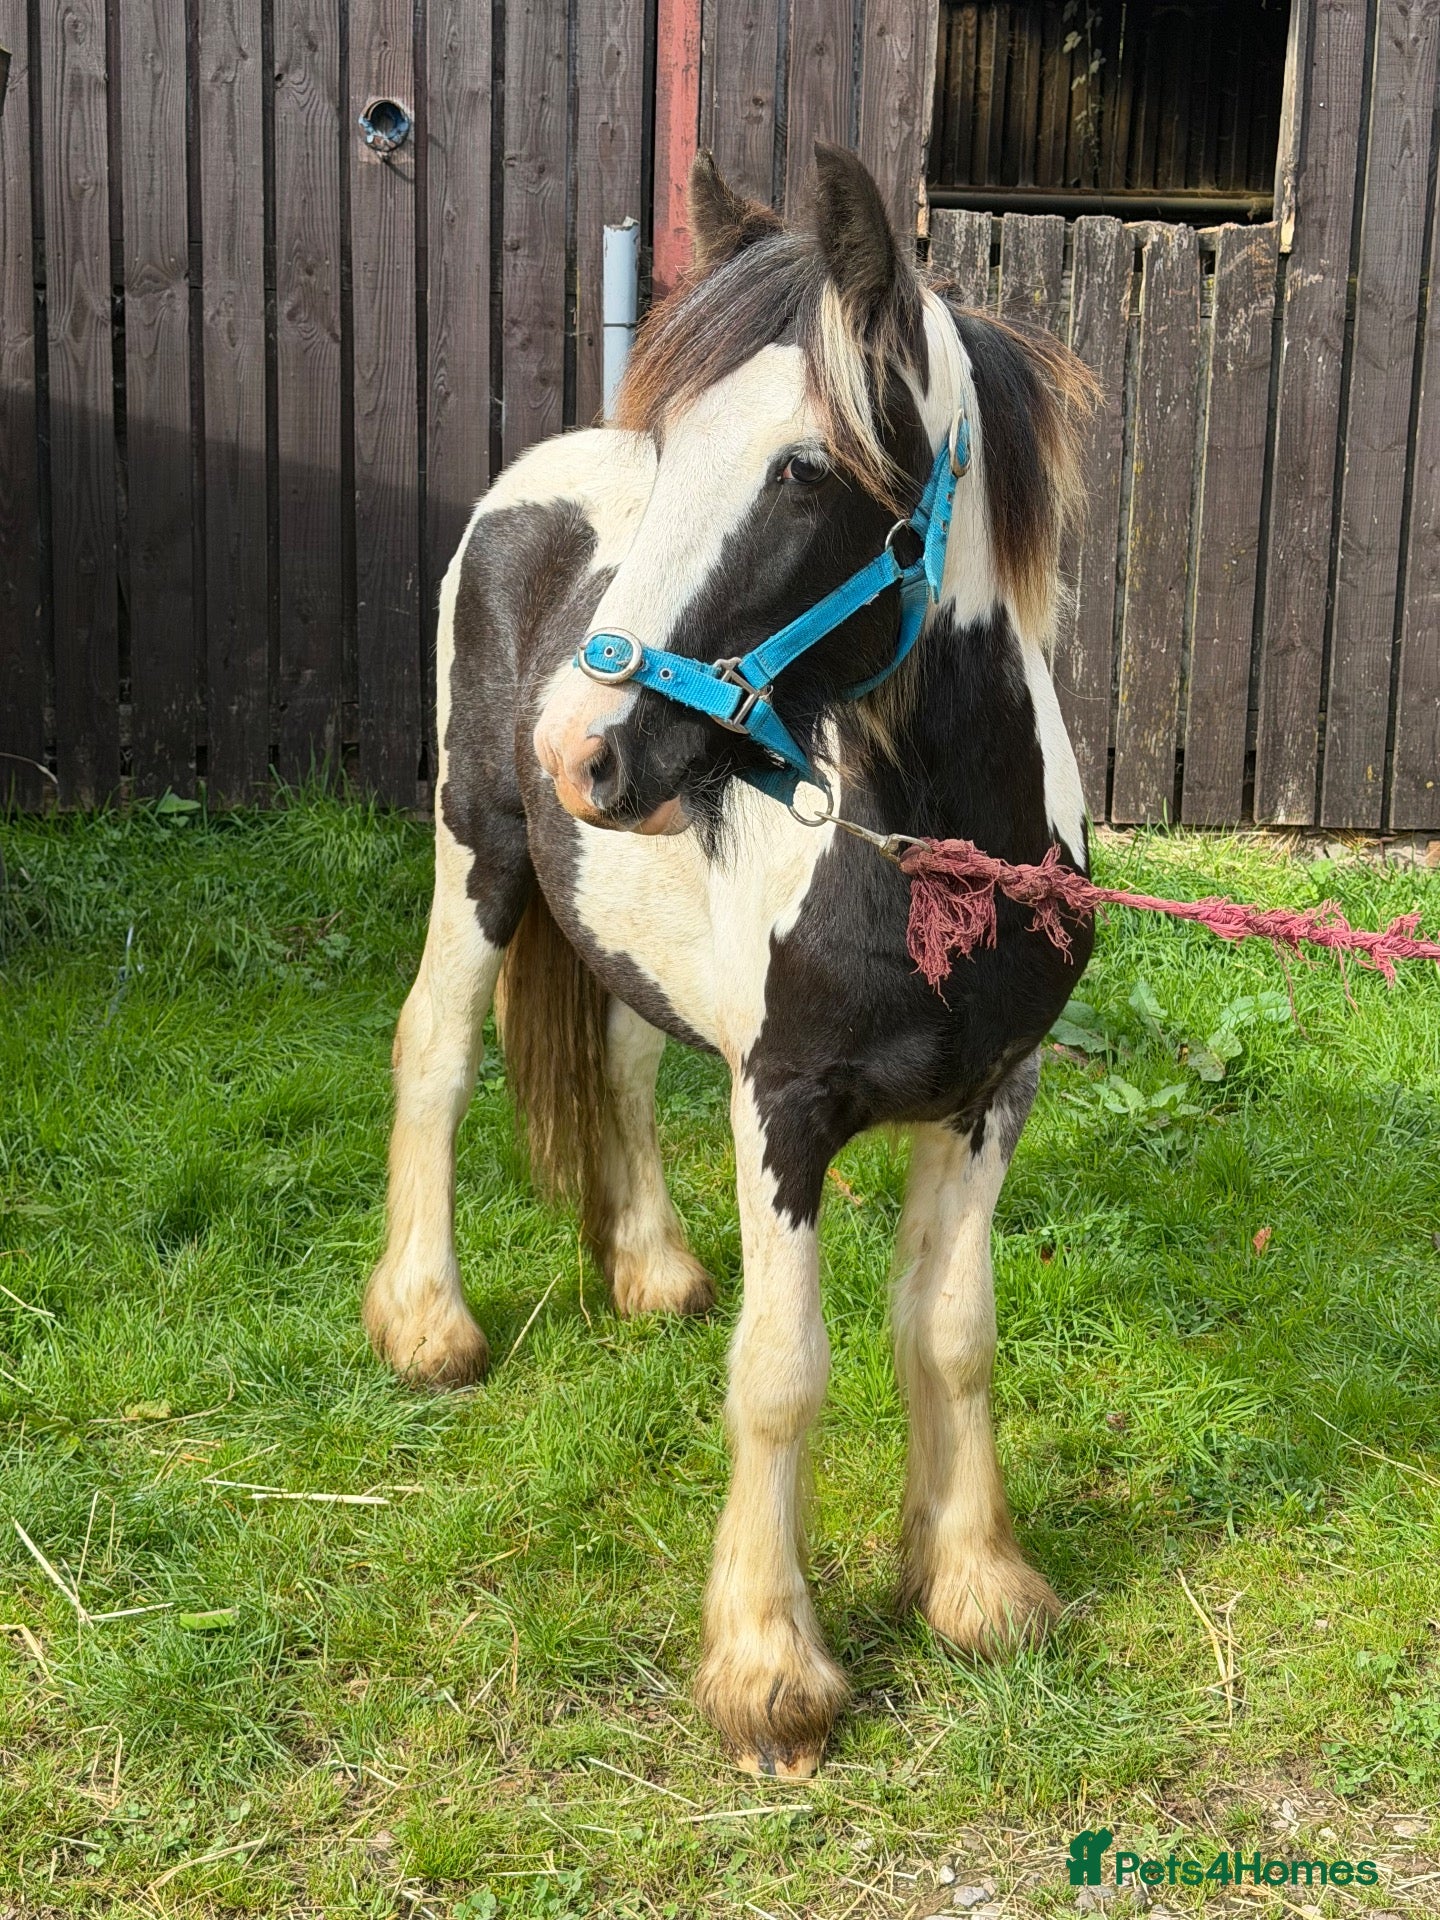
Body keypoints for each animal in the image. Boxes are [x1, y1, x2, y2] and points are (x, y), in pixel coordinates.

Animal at [363, 143, 1097, 1779]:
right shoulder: (787, 1111)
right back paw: (427, 1326)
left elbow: (954, 1334)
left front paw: (977, 1586)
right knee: (434, 1050)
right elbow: (781, 1372)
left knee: (626, 1058)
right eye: (680, 443)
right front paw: (772, 1672)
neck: (931, 861)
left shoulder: (991, 1098)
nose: (582, 749)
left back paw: (648, 1270)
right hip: (477, 855)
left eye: (805, 470)